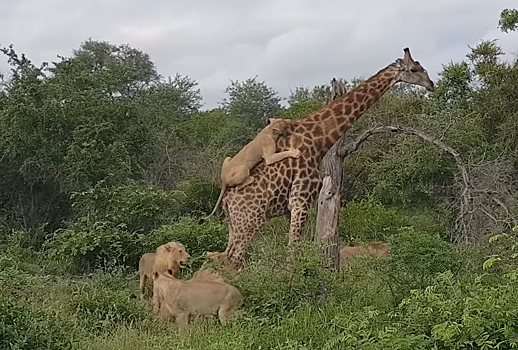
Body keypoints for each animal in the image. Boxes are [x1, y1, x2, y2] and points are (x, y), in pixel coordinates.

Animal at [219, 47, 434, 270]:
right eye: (414, 68)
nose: (432, 85)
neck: (318, 142)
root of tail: (226, 200)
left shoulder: (292, 207)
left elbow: (294, 250)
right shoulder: (301, 200)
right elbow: (293, 253)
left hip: (234, 225)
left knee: (225, 256)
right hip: (250, 222)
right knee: (234, 259)